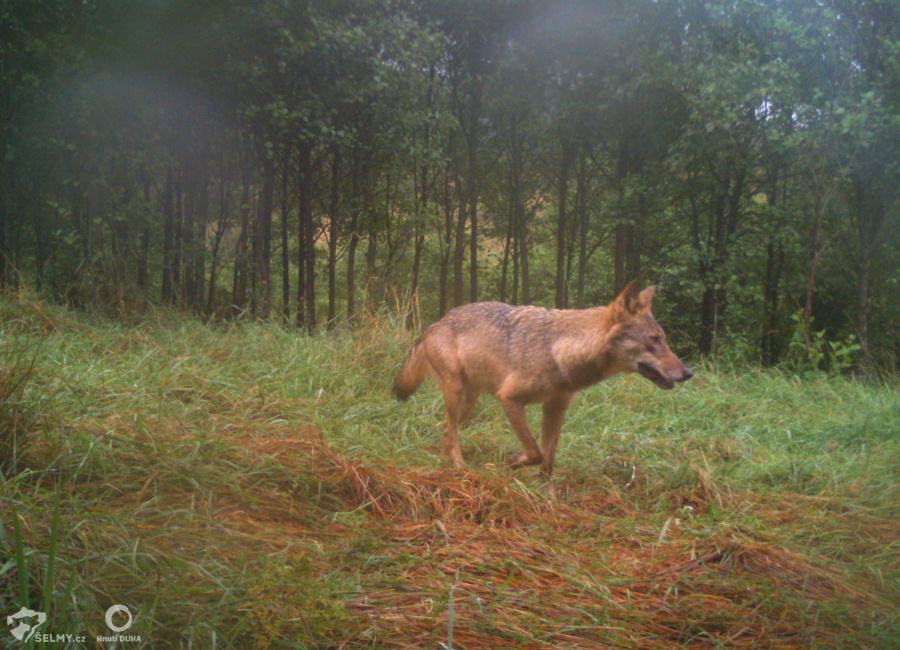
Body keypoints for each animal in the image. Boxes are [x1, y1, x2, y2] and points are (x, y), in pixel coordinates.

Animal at [390, 280, 692, 478]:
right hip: (456, 394)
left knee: (445, 430)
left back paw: (445, 464)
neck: (560, 351)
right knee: (451, 431)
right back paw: (458, 466)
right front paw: (513, 462)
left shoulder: (555, 408)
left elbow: (547, 460)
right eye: (654, 341)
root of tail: (435, 323)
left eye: (664, 339)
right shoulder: (509, 399)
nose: (688, 373)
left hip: (469, 401)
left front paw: (548, 502)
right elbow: (535, 451)